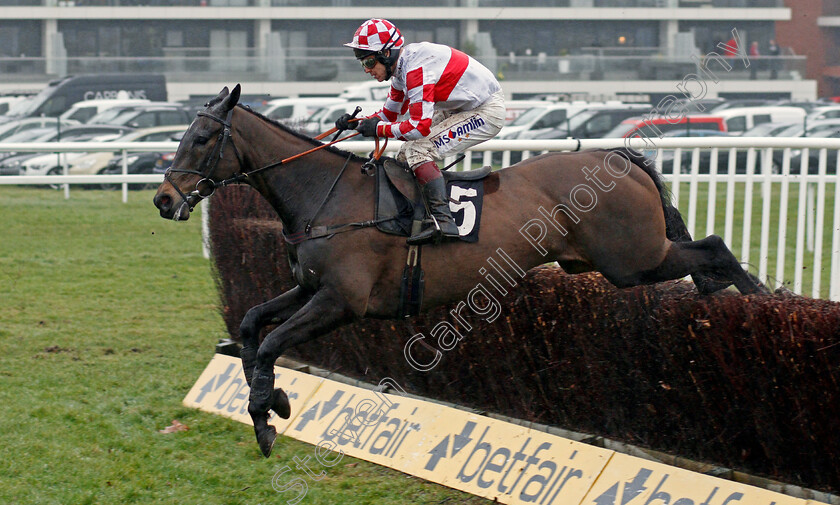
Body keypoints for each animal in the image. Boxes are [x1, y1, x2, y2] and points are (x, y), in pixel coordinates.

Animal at [153, 85, 768, 456]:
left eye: (202, 138)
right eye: (183, 134)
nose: (163, 200)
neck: (326, 197)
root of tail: (620, 157)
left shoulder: (342, 301)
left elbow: (273, 339)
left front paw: (265, 413)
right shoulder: (309, 288)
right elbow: (253, 325)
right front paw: (271, 402)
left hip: (632, 260)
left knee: (714, 247)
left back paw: (758, 302)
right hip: (611, 261)